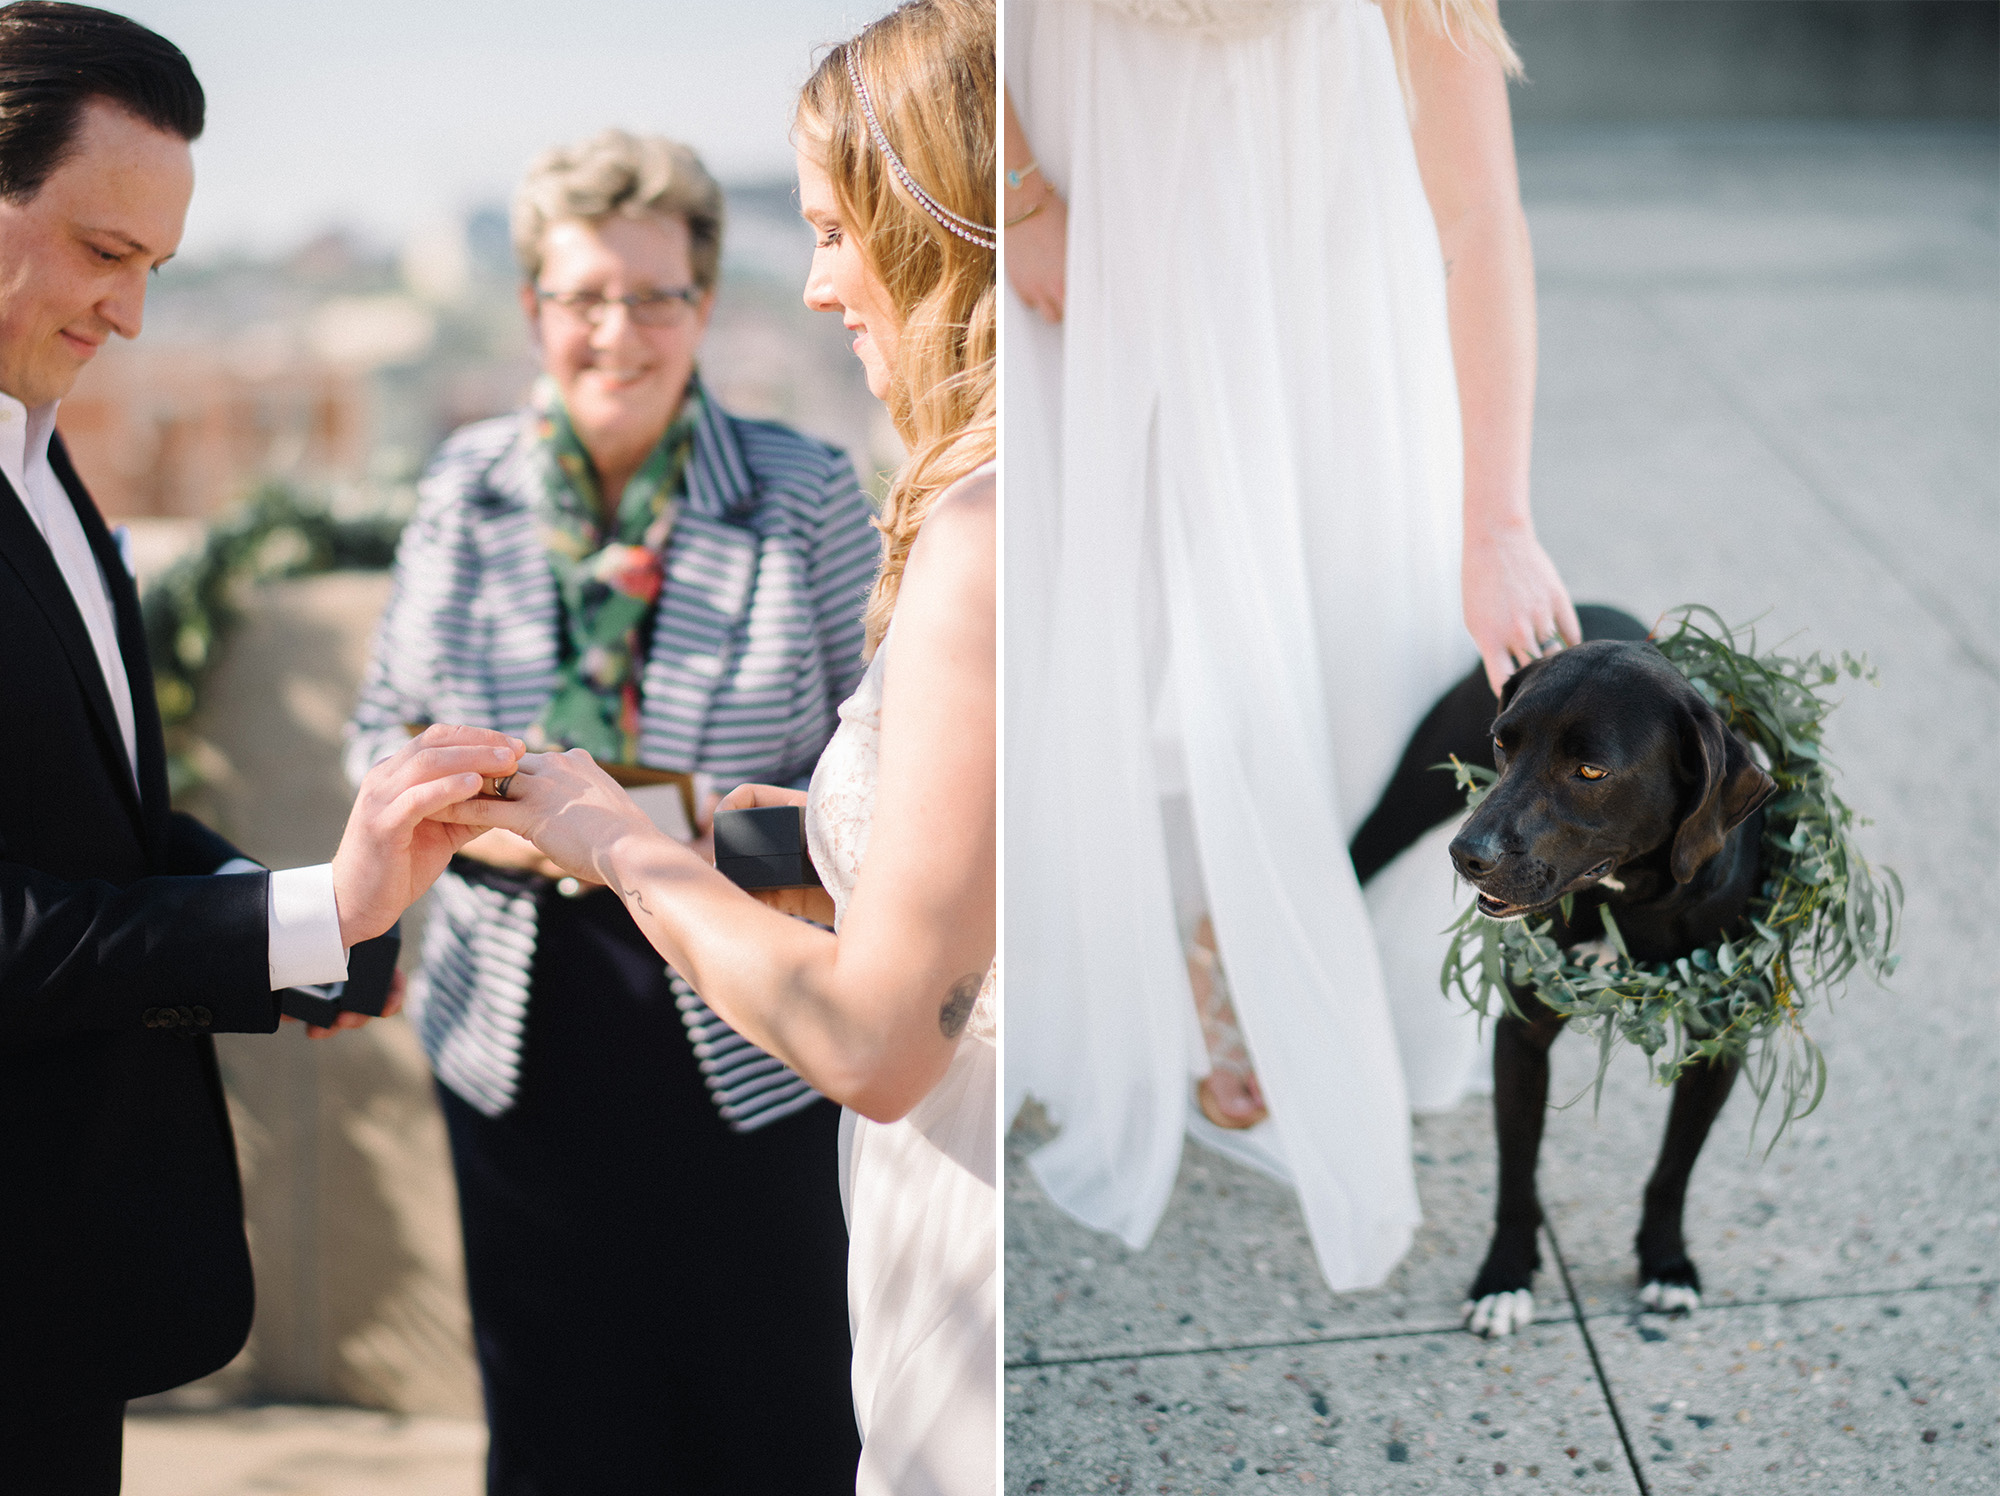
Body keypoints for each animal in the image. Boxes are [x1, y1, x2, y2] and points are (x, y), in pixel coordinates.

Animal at [1352, 604, 1776, 1336]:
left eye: (1590, 771)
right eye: (1502, 744)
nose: (1466, 855)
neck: (1628, 899)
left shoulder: (1720, 1043)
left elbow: (1675, 1168)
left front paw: (1666, 1261)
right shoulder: (1521, 1036)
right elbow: (1517, 1173)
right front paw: (1504, 1277)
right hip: (1401, 804)